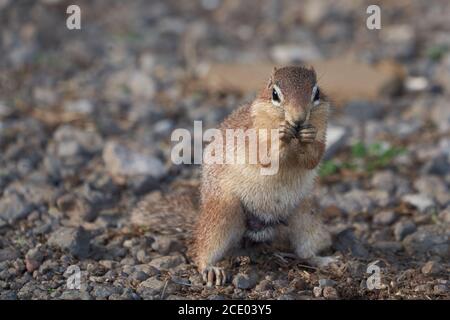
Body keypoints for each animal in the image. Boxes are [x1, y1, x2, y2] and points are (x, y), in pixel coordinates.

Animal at [192, 66, 336, 286]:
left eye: (317, 93)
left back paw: (324, 260)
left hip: (305, 215)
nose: (298, 119)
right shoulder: (251, 137)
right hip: (222, 212)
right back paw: (210, 269)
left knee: (306, 251)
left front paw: (307, 137)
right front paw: (281, 135)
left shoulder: (321, 134)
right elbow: (264, 156)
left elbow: (313, 157)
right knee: (203, 246)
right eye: (275, 94)